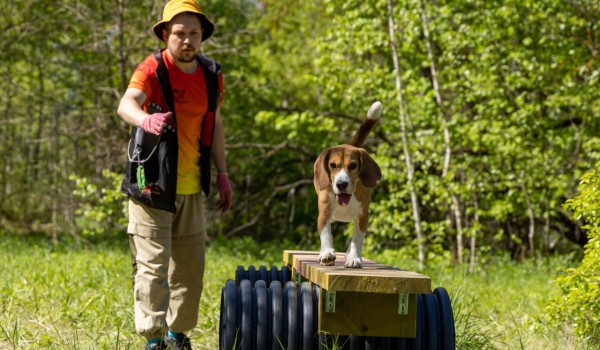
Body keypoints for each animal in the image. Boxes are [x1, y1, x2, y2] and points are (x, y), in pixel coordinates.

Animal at [312, 101, 382, 268]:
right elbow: (326, 234)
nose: (341, 184)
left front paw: (354, 258)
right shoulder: (324, 212)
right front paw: (326, 254)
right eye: (332, 165)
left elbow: (357, 239)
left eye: (353, 165)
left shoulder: (362, 216)